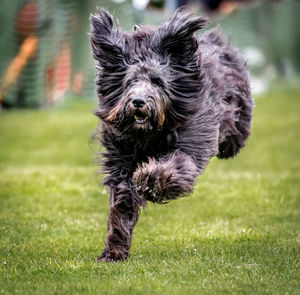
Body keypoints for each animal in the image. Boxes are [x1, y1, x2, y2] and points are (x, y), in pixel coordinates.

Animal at [89, 6, 255, 262]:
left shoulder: (191, 143)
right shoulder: (120, 161)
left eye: (157, 81)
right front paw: (114, 250)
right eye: (130, 82)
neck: (150, 135)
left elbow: (175, 165)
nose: (138, 101)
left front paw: (150, 180)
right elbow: (122, 203)